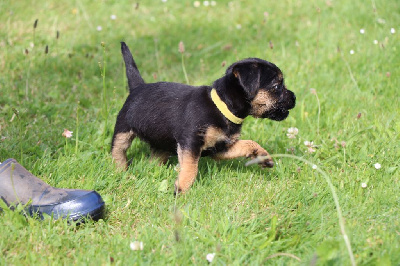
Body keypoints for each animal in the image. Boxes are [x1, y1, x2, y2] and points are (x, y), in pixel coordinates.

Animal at [111, 42, 296, 194]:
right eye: (277, 86)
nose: (294, 98)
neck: (222, 107)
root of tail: (138, 87)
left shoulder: (222, 147)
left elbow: (248, 143)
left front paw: (263, 156)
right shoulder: (191, 143)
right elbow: (191, 168)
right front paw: (181, 188)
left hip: (161, 142)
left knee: (154, 158)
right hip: (123, 130)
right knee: (117, 151)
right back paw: (120, 171)